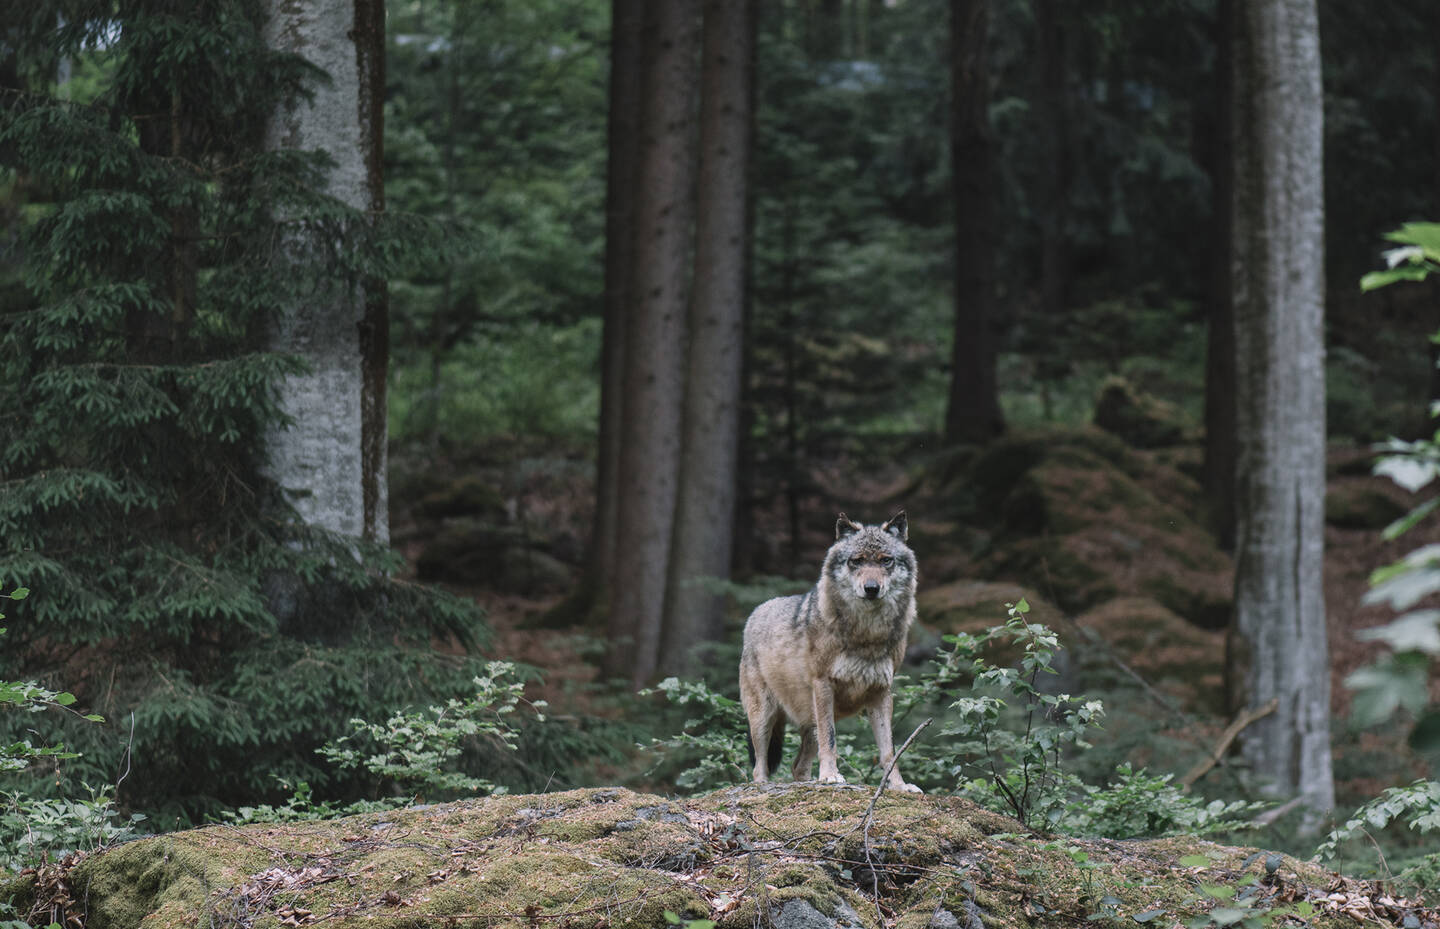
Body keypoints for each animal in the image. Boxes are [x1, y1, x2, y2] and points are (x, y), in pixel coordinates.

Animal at [739, 511, 921, 792]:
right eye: (856, 561)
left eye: (886, 560)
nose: (871, 588)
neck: (867, 635)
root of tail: (756, 612)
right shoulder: (823, 684)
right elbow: (831, 739)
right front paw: (831, 776)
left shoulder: (882, 692)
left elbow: (889, 751)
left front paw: (899, 786)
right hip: (764, 717)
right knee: (760, 765)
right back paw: (764, 786)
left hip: (808, 718)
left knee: (797, 766)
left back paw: (806, 782)